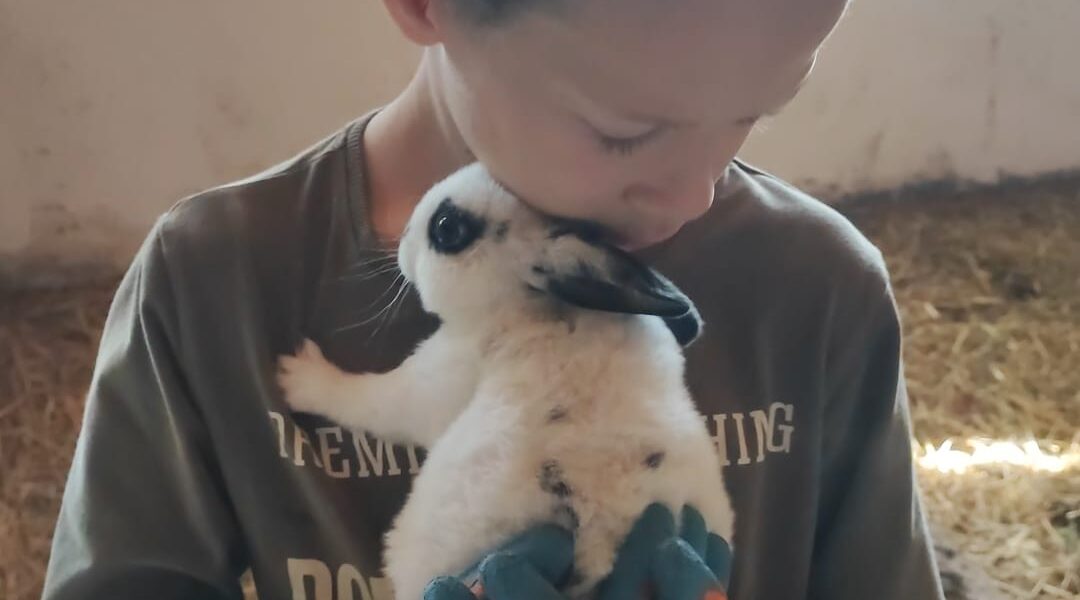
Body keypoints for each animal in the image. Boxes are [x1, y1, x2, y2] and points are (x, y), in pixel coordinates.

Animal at [277, 162, 735, 599]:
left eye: (448, 228)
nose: (404, 237)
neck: (531, 302)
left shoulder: (430, 381)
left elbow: (369, 401)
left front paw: (298, 375)